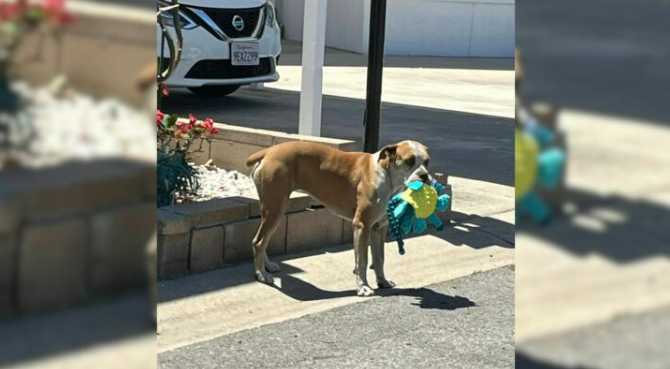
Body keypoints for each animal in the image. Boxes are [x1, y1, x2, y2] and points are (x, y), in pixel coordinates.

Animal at [245, 140, 430, 296]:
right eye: (409, 161)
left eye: (427, 162)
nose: (425, 175)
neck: (386, 175)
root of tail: (268, 151)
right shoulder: (362, 225)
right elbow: (362, 260)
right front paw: (362, 287)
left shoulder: (379, 228)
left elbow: (379, 258)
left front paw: (382, 281)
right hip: (275, 209)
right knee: (258, 241)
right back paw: (261, 274)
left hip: (273, 211)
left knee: (261, 239)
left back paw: (267, 266)